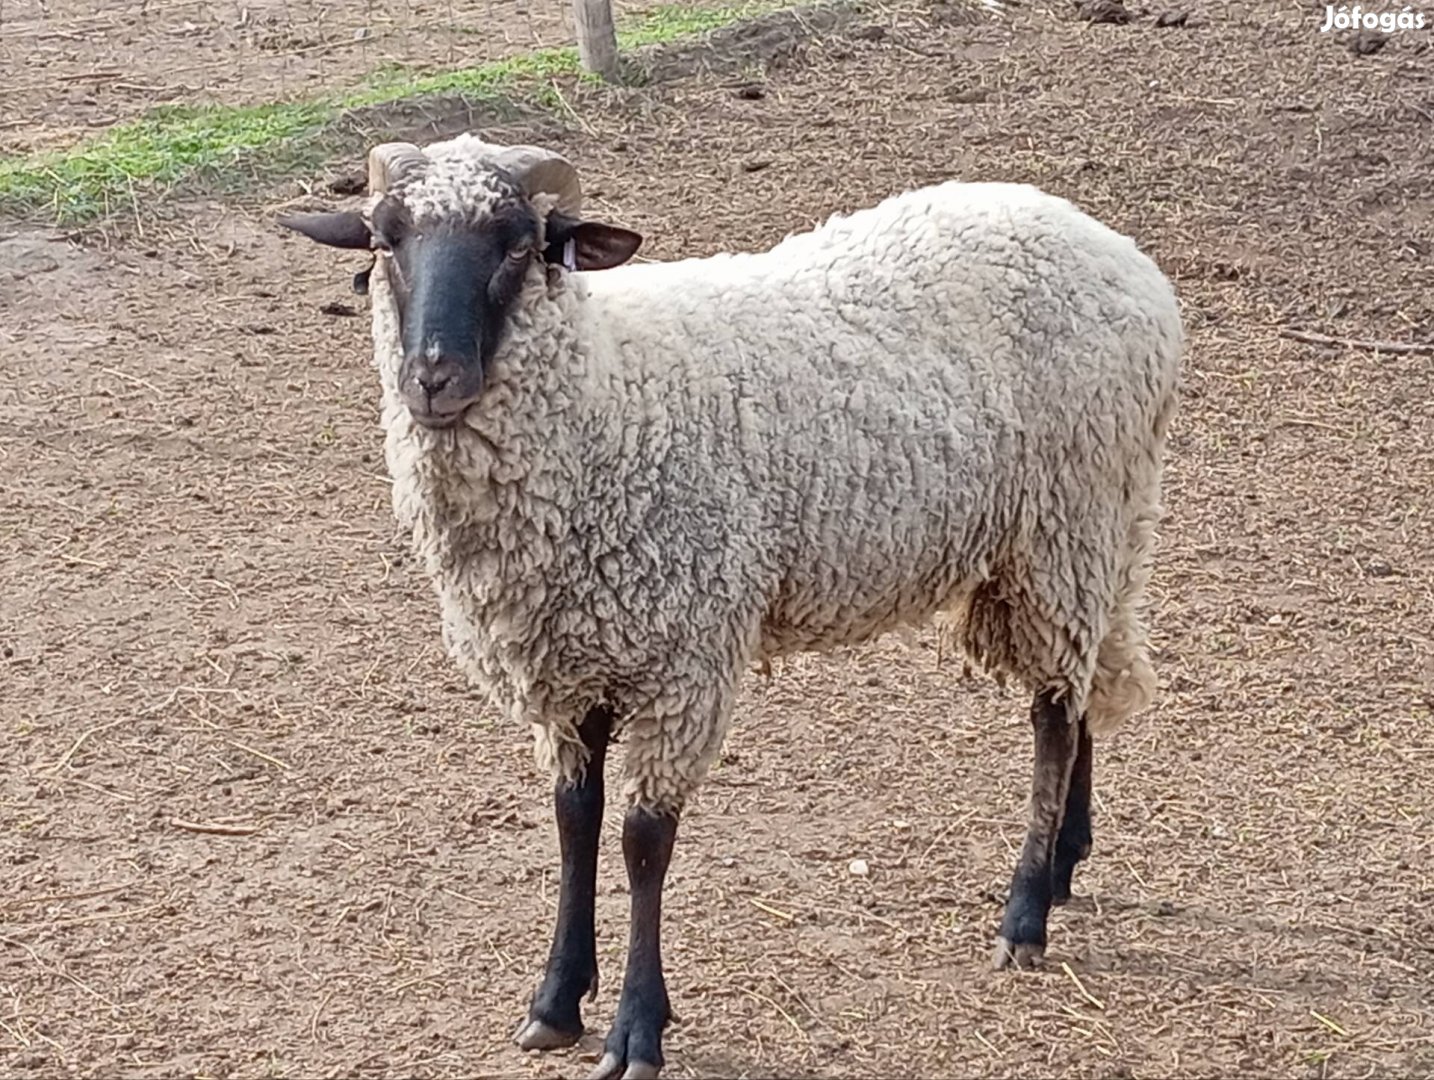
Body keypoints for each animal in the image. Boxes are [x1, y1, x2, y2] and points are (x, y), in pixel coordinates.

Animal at [276, 134, 1175, 1078]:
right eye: (386, 242)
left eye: (518, 245)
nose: (433, 378)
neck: (606, 394)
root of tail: (1115, 251)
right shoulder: (571, 661)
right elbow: (574, 820)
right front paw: (556, 999)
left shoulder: (686, 658)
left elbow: (643, 843)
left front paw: (637, 1027)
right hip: (1088, 527)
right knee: (1086, 682)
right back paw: (1067, 858)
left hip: (1066, 524)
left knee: (1053, 712)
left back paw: (1026, 910)